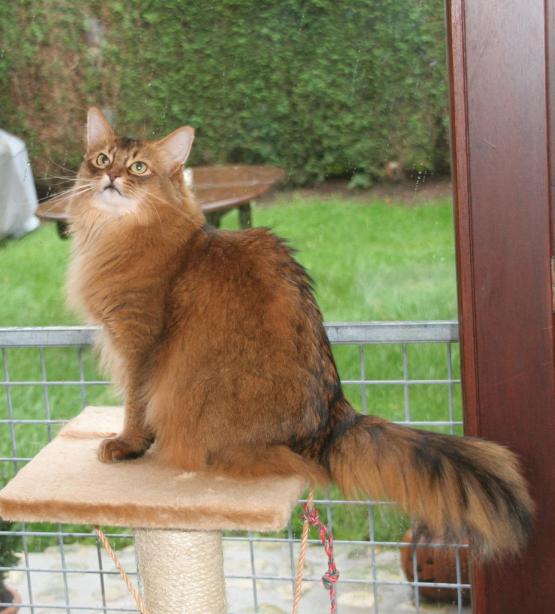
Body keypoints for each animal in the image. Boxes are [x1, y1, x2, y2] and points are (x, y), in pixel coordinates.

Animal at [66, 107, 533, 558]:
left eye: (139, 167)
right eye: (102, 159)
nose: (111, 176)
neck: (117, 236)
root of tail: (333, 421)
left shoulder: (139, 344)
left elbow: (135, 406)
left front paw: (127, 444)